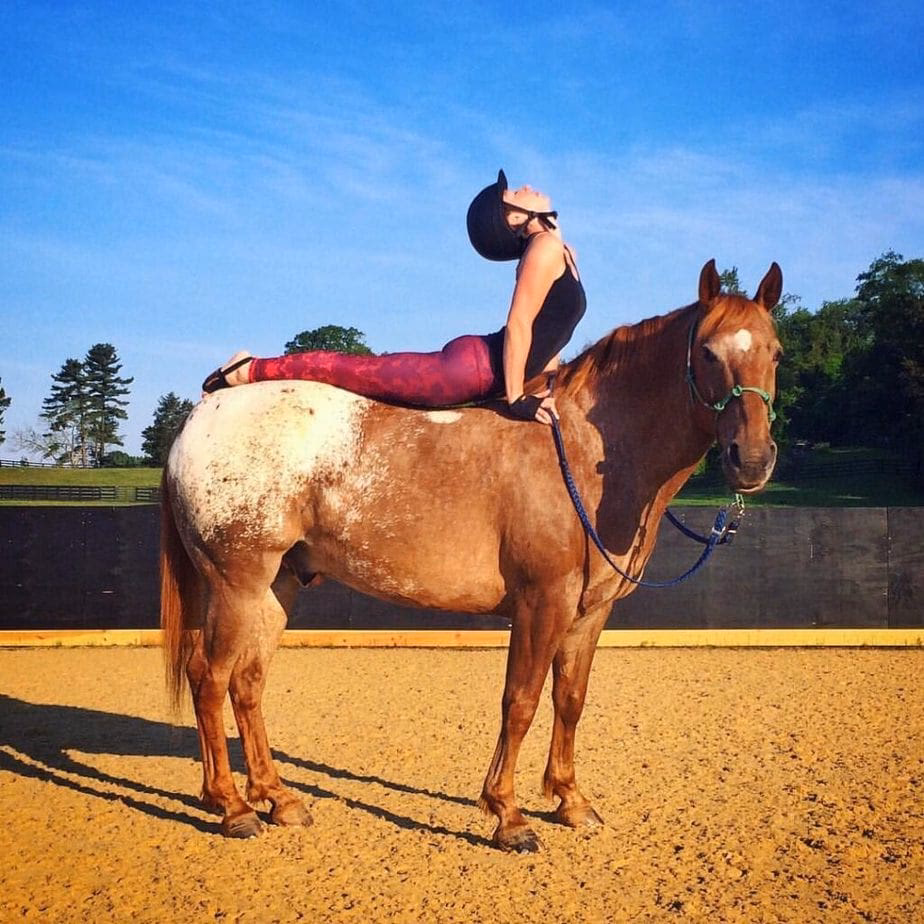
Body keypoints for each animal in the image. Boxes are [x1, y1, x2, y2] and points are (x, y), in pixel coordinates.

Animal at [160, 259, 783, 851]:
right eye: (707, 352)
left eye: (775, 352)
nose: (751, 459)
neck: (583, 452)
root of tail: (202, 419)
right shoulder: (542, 603)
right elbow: (521, 700)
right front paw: (508, 815)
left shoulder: (590, 612)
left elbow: (570, 699)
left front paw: (571, 801)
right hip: (237, 583)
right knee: (208, 677)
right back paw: (232, 807)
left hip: (277, 586)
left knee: (247, 683)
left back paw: (278, 798)